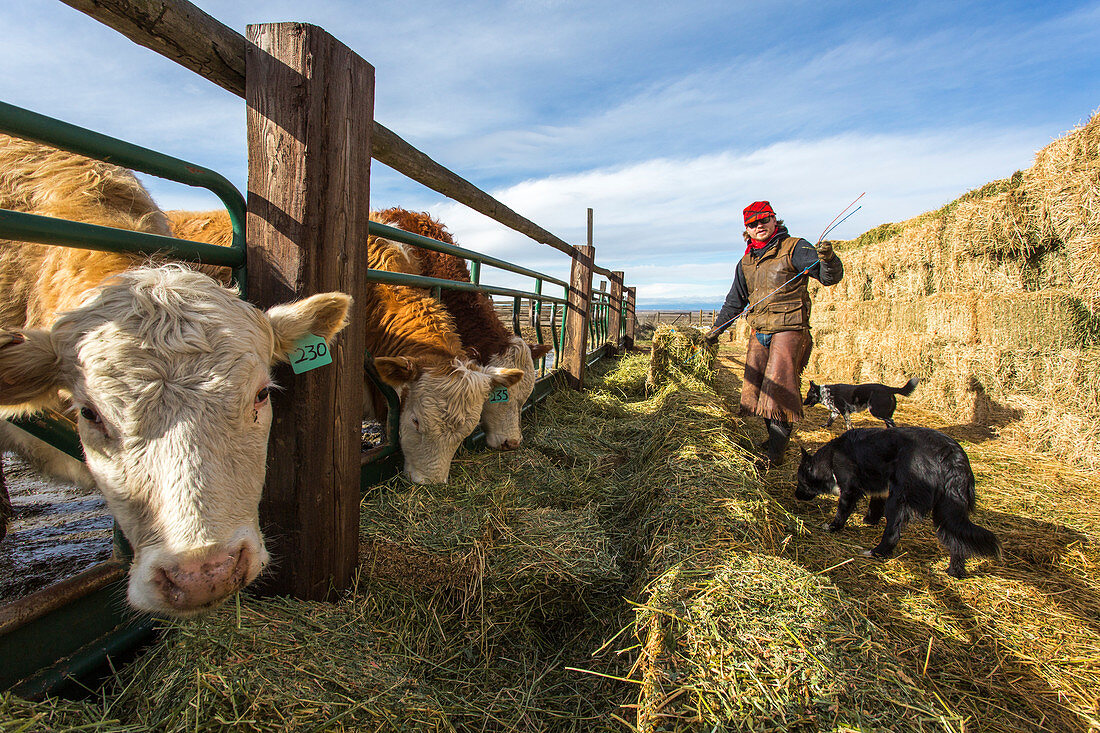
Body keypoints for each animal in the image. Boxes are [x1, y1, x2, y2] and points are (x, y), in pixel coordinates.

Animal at [796, 424, 1003, 572]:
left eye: (800, 481)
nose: (796, 496)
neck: (831, 458)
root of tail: (953, 457)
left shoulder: (850, 489)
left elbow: (842, 511)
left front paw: (833, 527)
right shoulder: (880, 489)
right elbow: (874, 506)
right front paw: (869, 520)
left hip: (899, 500)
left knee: (893, 534)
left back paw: (876, 552)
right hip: (948, 509)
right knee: (956, 540)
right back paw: (955, 571)